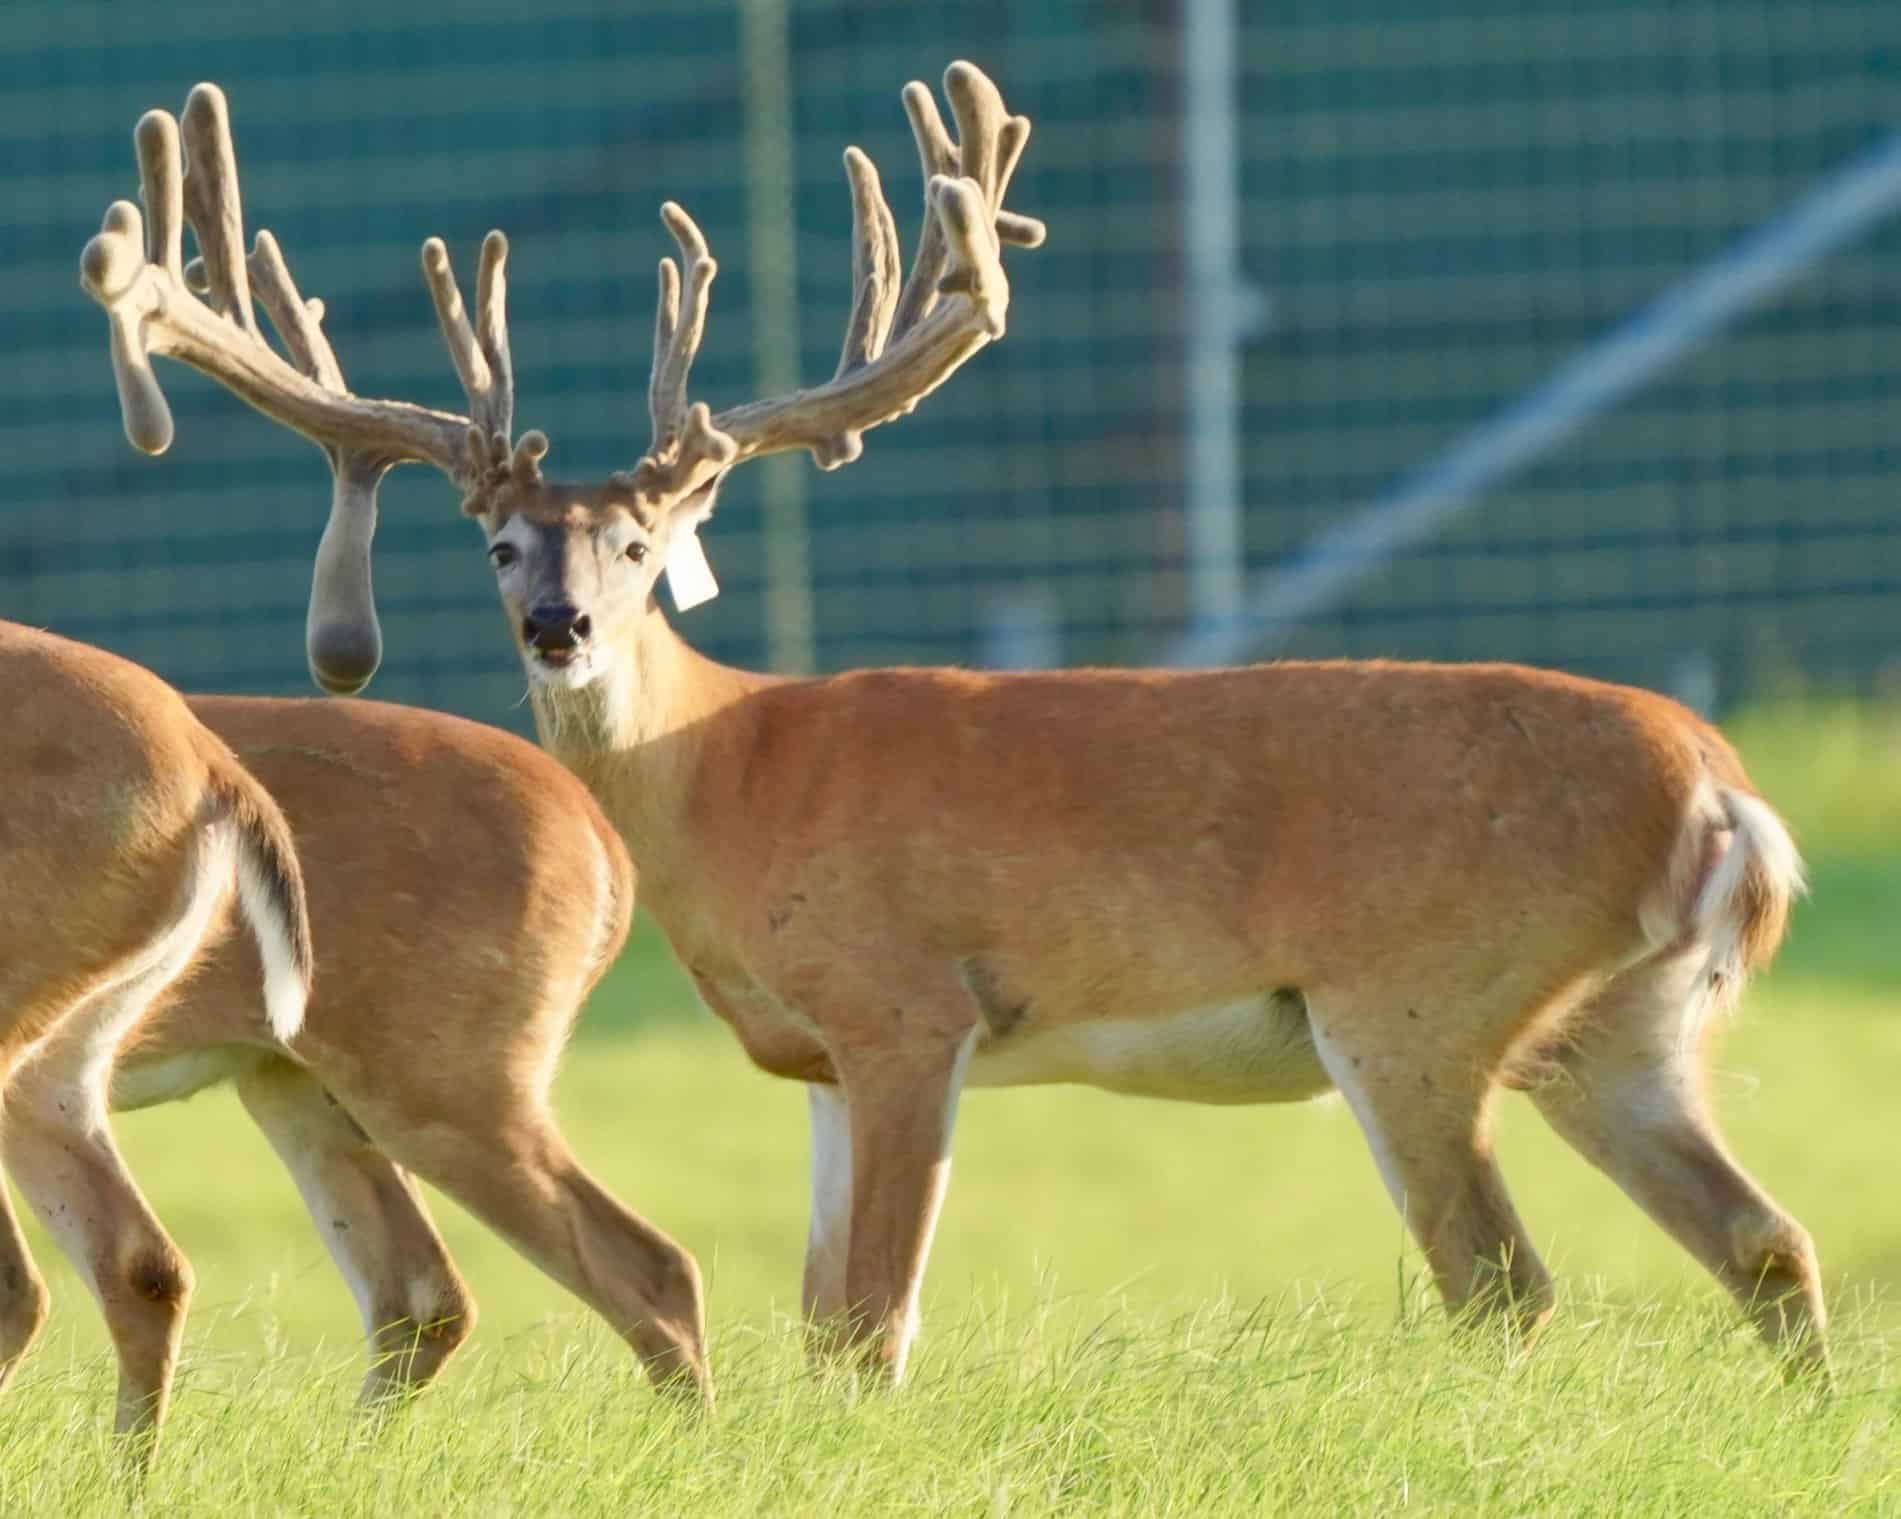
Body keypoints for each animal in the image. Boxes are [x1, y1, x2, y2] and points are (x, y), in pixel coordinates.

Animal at [85, 63, 1826, 1386]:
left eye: (645, 544)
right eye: (499, 541)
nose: (558, 625)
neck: (723, 770)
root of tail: (1725, 792)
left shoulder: (908, 1000)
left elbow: (871, 1319)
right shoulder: (815, 1058)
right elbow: (814, 1314)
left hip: (1416, 1004)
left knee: (1503, 1280)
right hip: (1621, 1029)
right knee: (1764, 1238)